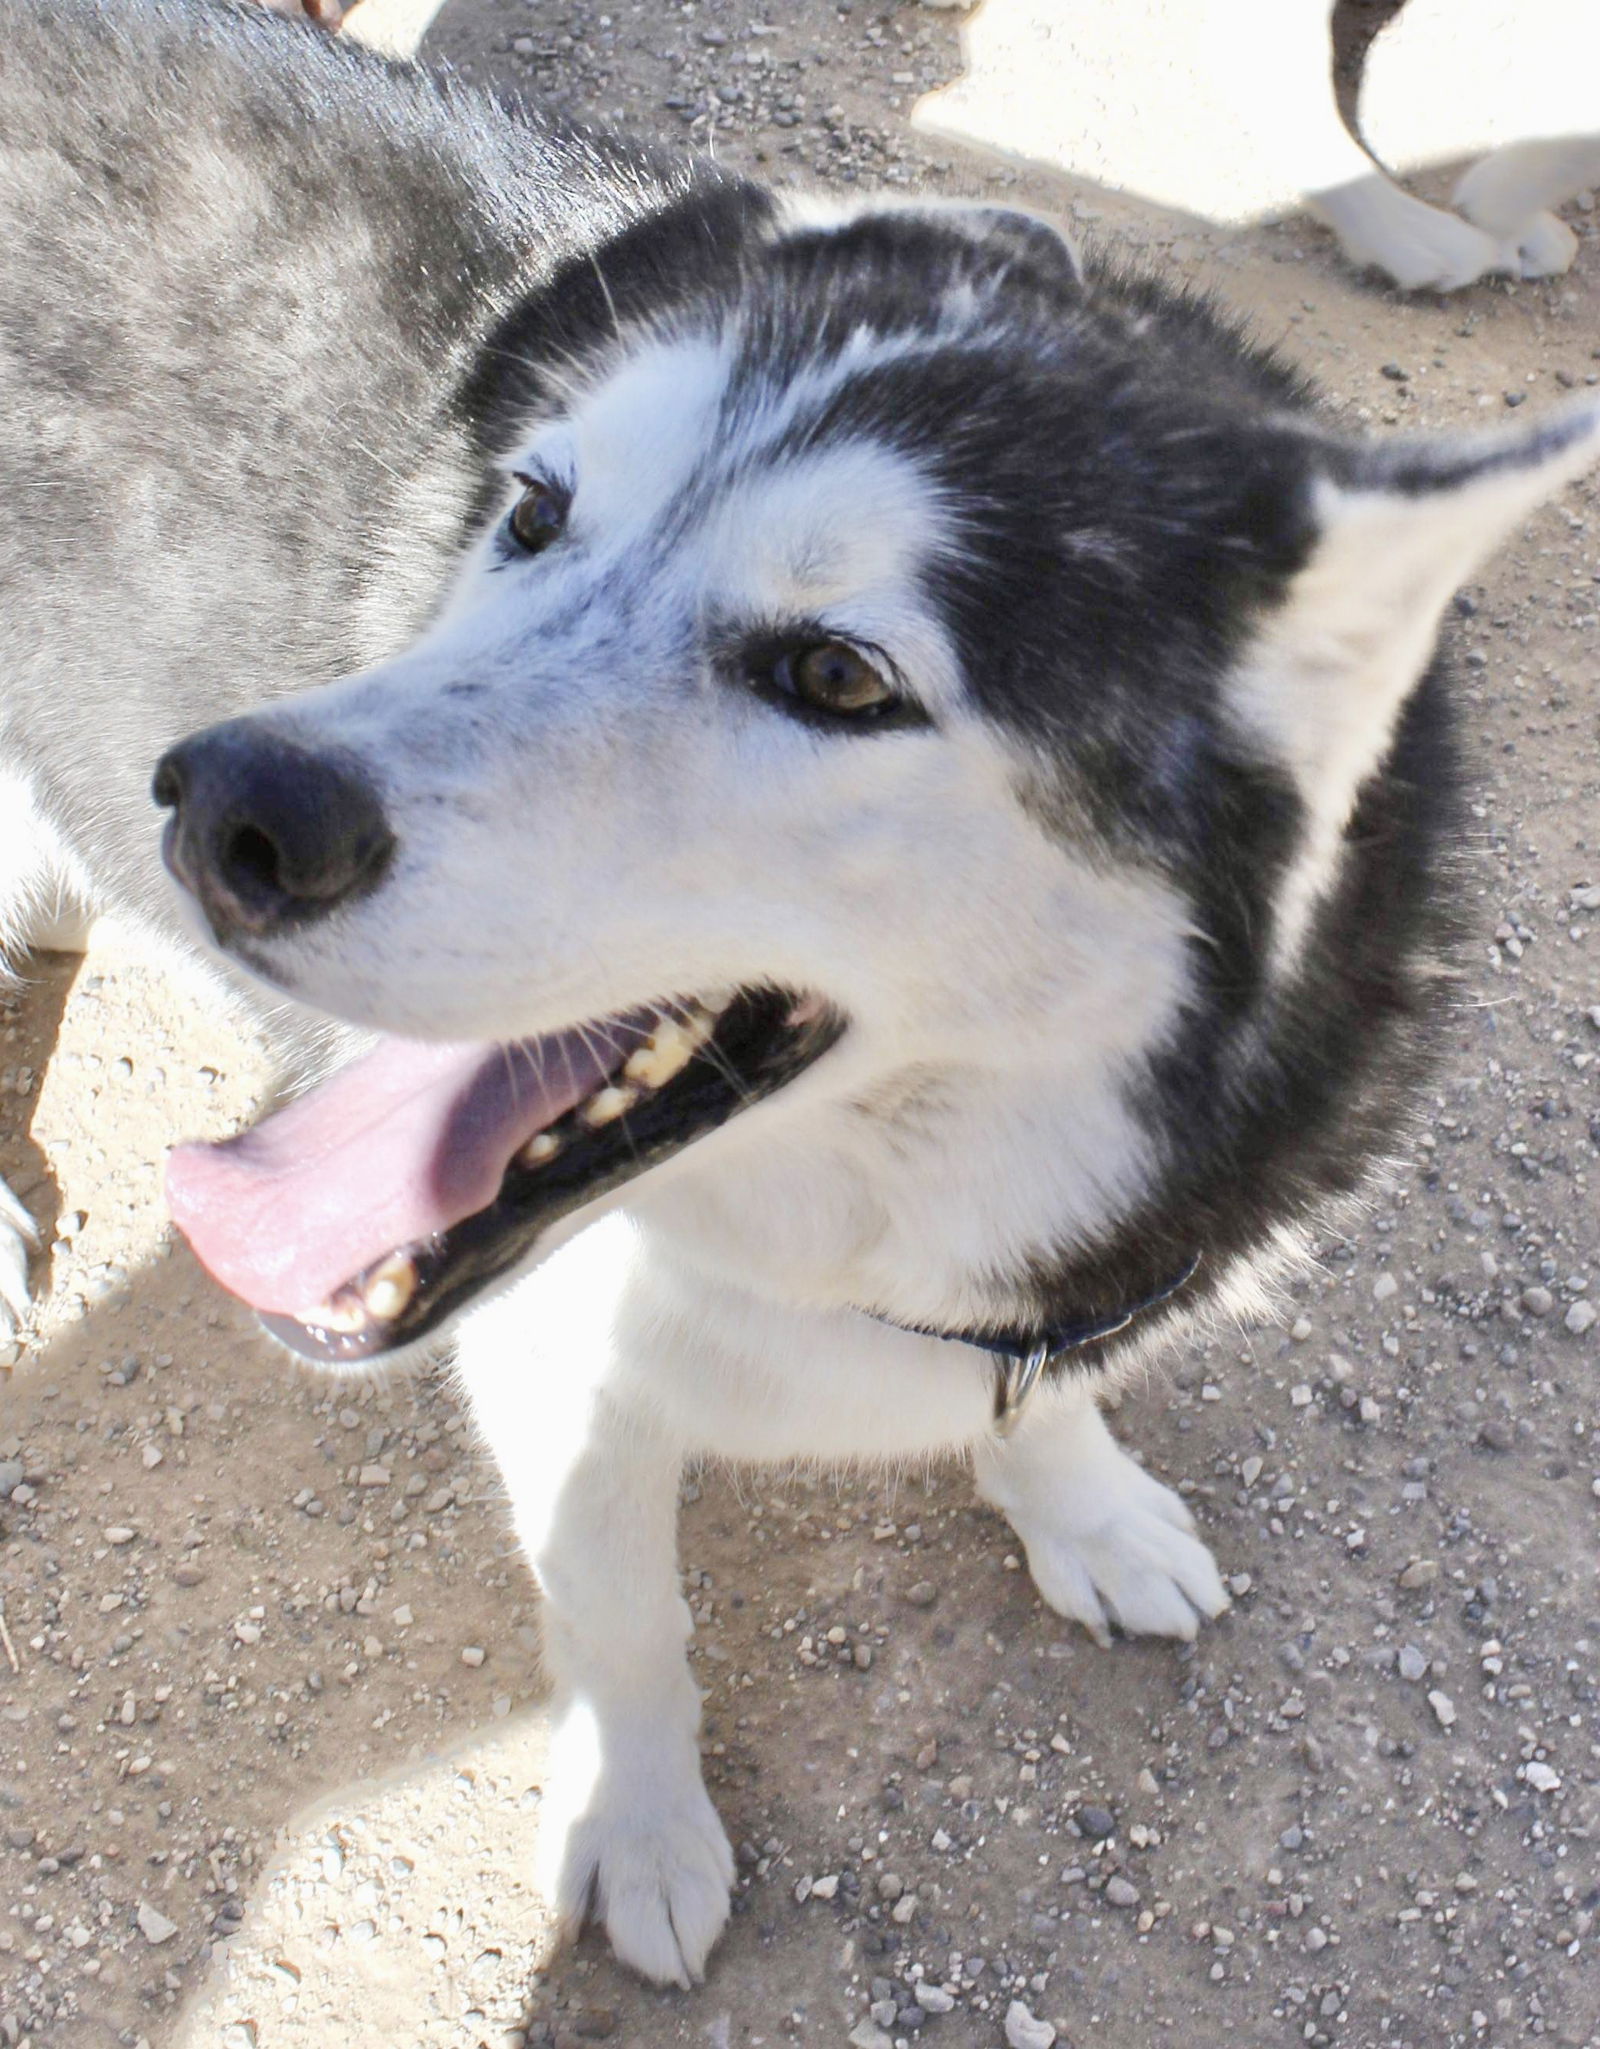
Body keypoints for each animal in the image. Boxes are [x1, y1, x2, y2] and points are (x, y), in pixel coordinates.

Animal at [3, 0, 1597, 1983]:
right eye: (533, 510)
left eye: (839, 674)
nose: (227, 807)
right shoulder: (561, 1361)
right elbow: (622, 1612)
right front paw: (637, 1821)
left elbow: (1042, 1407)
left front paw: (1084, 1504)